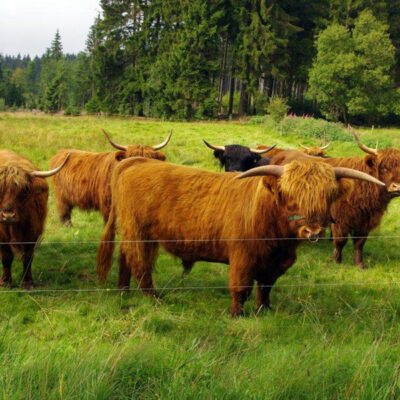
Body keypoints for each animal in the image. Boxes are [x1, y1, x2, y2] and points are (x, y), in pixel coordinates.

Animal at [0, 150, 69, 288]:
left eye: (23, 190)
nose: (8, 216)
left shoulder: (33, 232)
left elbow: (28, 257)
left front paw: (27, 283)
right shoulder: (2, 234)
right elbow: (6, 257)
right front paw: (5, 282)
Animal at [97, 156, 384, 316]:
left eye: (327, 196)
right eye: (289, 196)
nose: (312, 231)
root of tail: (134, 161)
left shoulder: (276, 263)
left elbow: (265, 288)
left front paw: (264, 310)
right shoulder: (242, 257)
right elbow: (241, 287)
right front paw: (236, 315)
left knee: (125, 259)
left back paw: (123, 291)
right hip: (139, 233)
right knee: (140, 264)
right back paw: (153, 298)